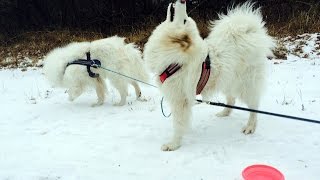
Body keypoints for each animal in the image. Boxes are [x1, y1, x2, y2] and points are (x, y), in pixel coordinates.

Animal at [144, 0, 274, 151]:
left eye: (184, 20)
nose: (183, 1)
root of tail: (250, 33)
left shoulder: (179, 100)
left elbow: (178, 124)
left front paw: (173, 144)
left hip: (245, 86)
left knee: (254, 106)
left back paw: (250, 127)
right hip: (227, 81)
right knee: (231, 99)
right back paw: (224, 113)